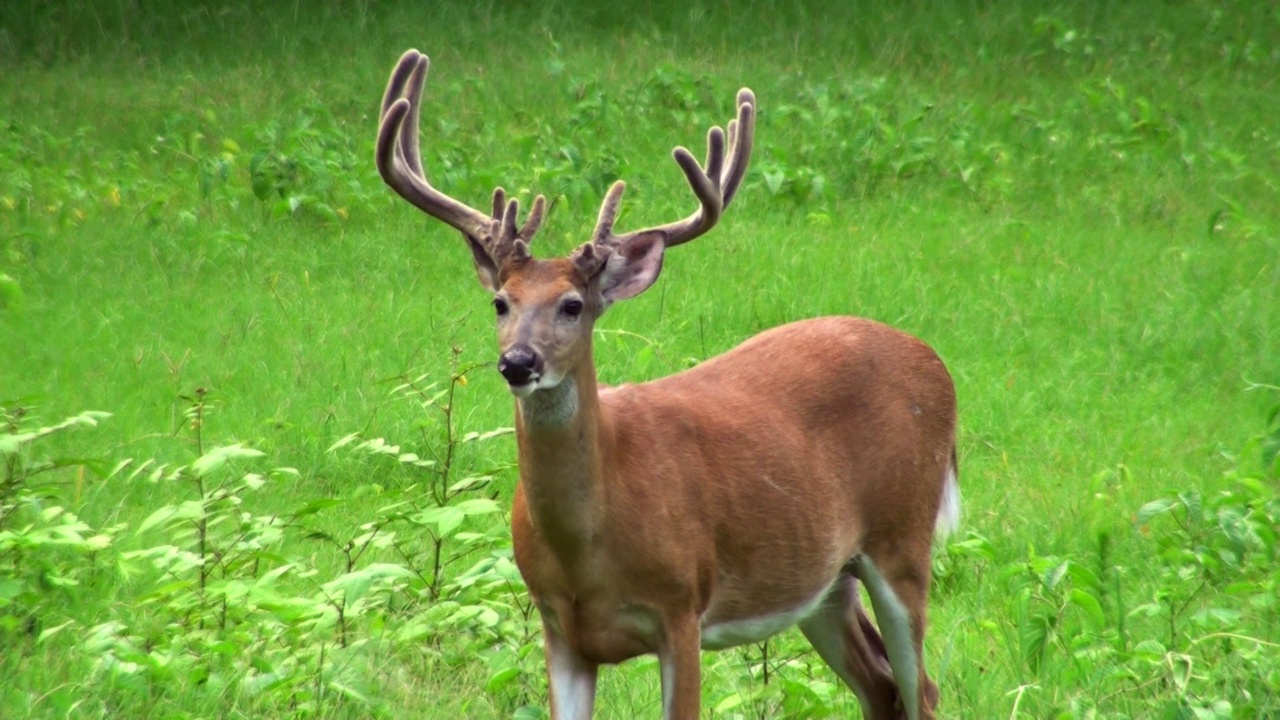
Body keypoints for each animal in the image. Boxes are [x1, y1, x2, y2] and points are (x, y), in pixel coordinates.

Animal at [378, 50, 962, 717]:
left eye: (573, 305)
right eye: (501, 302)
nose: (518, 363)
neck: (589, 550)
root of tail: (934, 361)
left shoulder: (682, 606)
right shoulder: (558, 626)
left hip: (903, 536)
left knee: (922, 687)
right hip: (824, 579)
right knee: (881, 685)